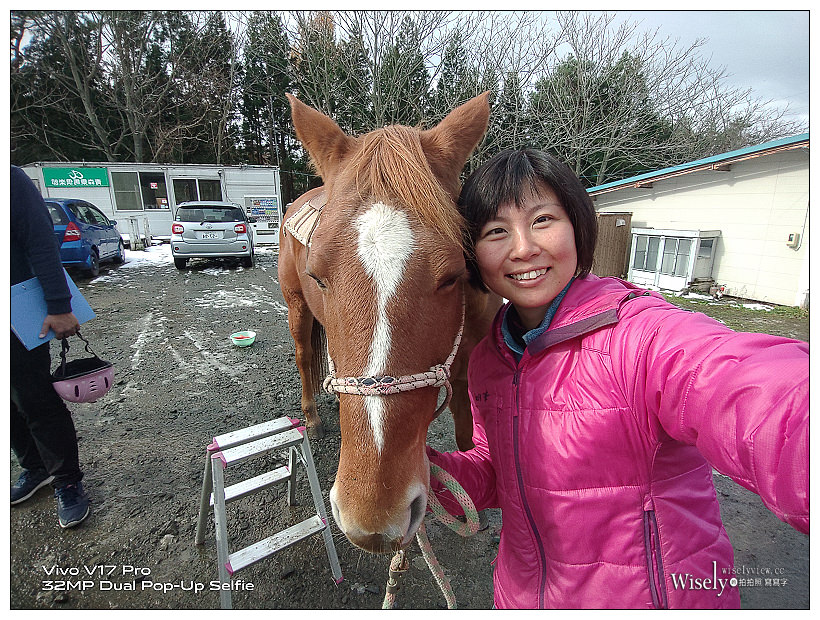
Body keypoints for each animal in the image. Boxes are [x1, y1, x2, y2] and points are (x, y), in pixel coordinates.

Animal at [277, 92, 500, 553]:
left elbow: (466, 426)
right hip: (296, 308)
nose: (373, 521)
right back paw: (312, 415)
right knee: (305, 357)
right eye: (318, 276)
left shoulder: (465, 363)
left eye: (452, 276)